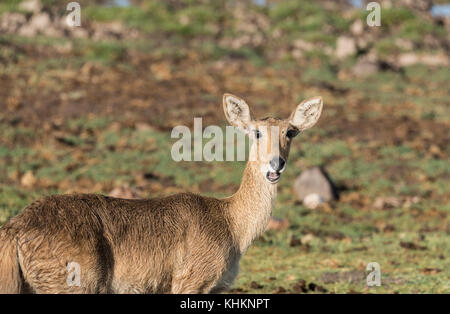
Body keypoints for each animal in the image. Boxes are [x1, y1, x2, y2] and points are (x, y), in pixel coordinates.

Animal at [0, 93, 324, 294]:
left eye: (290, 132)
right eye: (255, 131)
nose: (276, 164)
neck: (232, 225)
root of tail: (13, 230)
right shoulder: (190, 281)